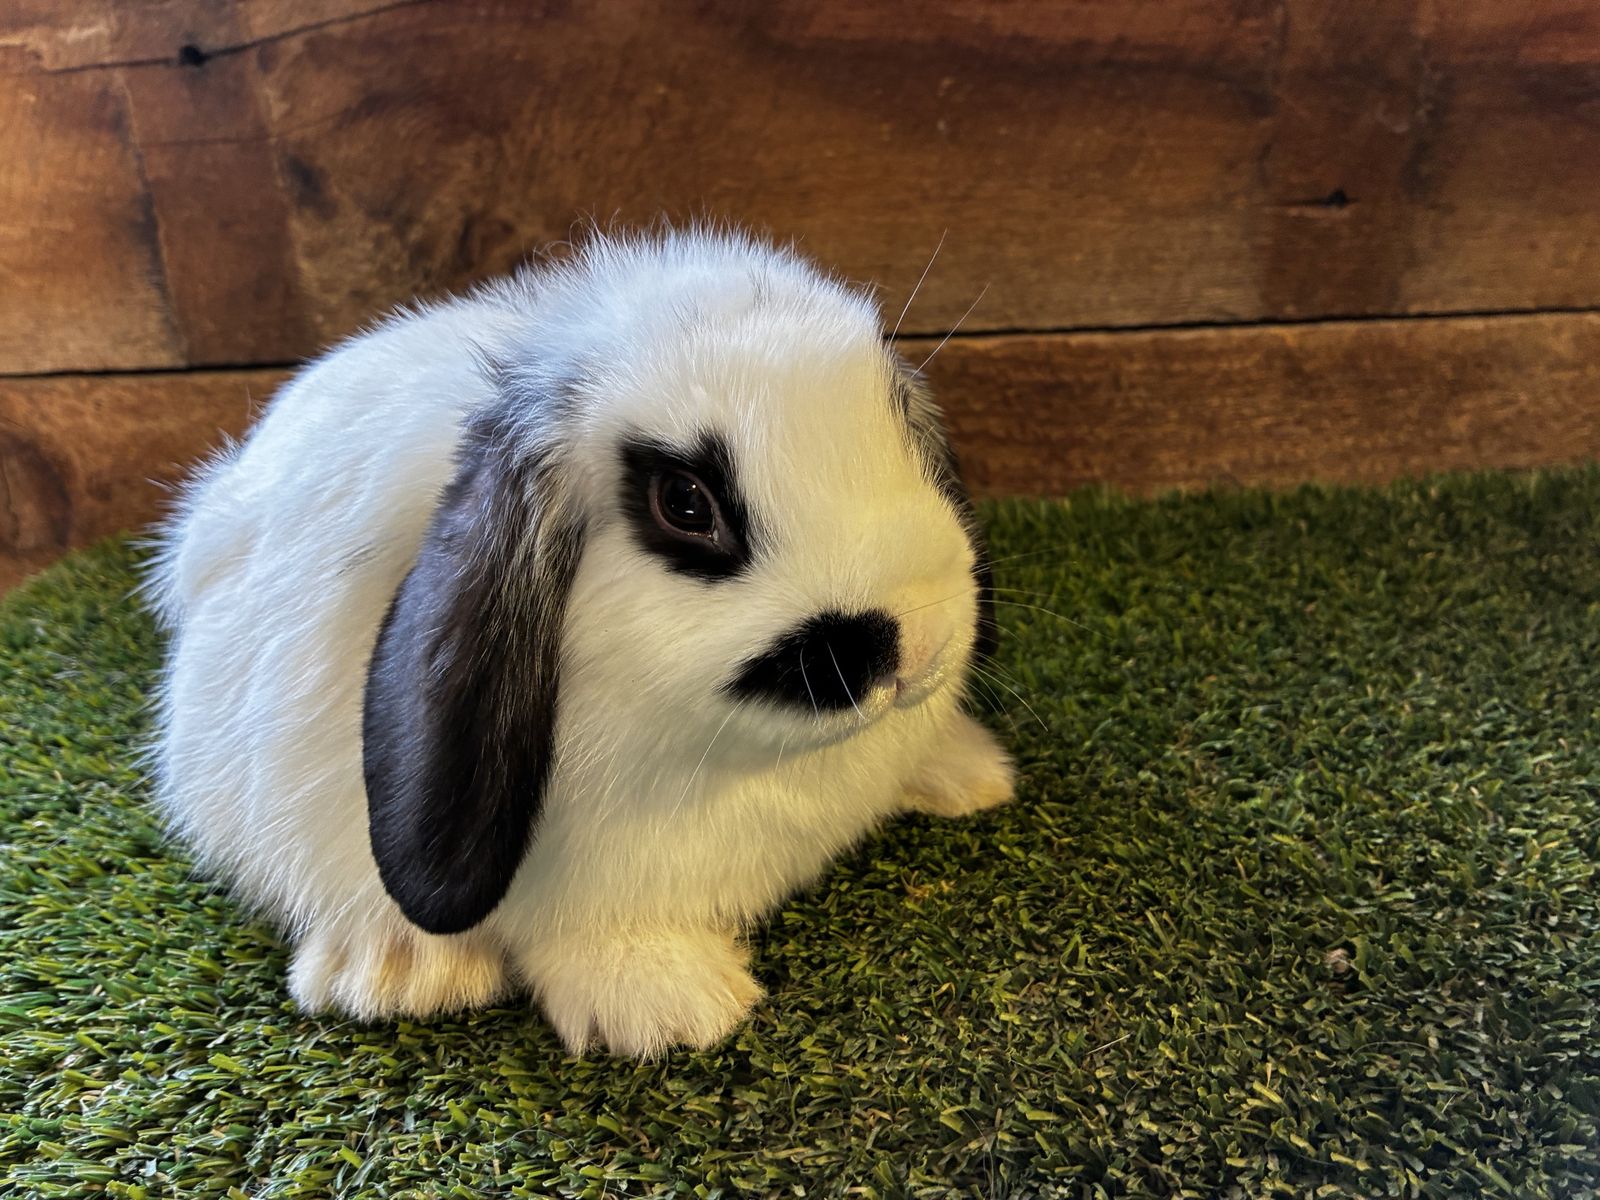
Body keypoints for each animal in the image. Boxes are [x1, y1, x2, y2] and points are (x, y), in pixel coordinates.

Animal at [144, 226, 1015, 1057]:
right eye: (685, 504)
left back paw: (965, 773)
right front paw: (673, 1006)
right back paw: (398, 973)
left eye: (900, 433)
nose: (915, 647)